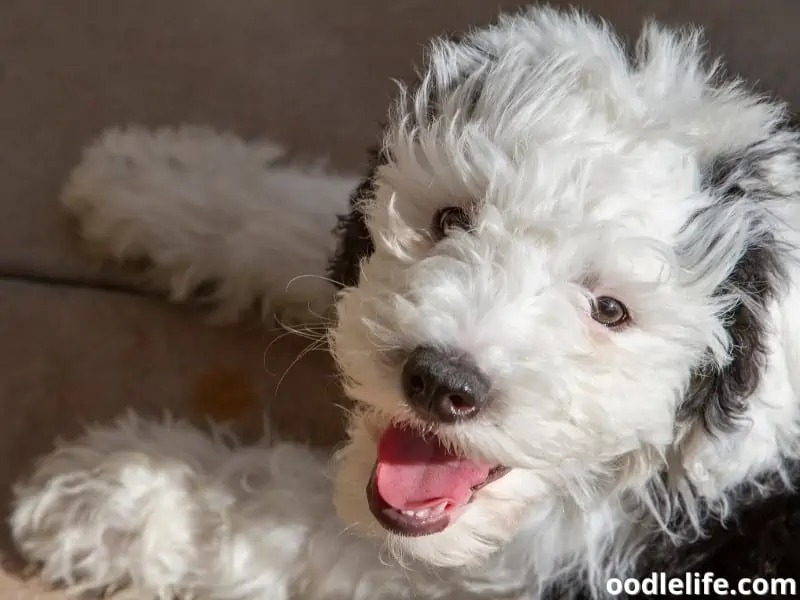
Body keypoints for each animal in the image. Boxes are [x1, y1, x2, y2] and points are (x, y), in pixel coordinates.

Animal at [9, 5, 800, 600]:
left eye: (610, 310)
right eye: (451, 219)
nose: (442, 382)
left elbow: (281, 516)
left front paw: (112, 493)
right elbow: (291, 216)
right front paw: (155, 181)